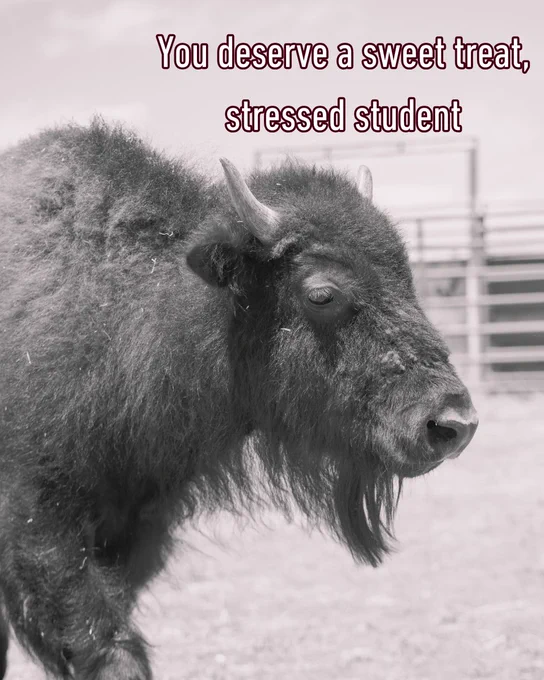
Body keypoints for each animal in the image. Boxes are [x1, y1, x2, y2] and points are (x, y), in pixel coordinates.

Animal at [0, 120, 478, 679]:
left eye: (407, 276)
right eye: (322, 293)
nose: (452, 423)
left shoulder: (135, 528)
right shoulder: (38, 529)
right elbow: (103, 642)